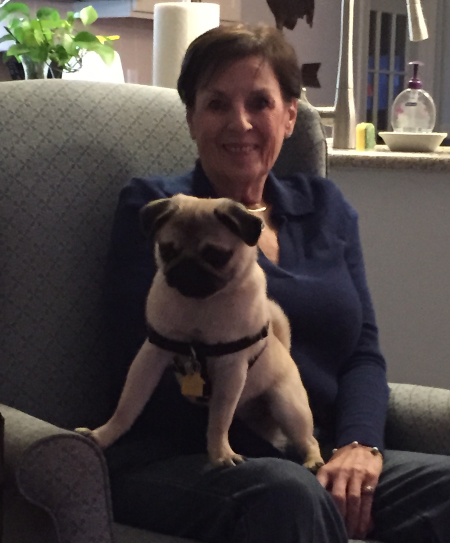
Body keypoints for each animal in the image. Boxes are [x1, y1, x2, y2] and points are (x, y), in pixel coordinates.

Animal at [77, 196, 324, 472]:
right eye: (167, 250)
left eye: (216, 256)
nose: (187, 267)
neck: (200, 305)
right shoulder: (150, 357)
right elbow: (128, 405)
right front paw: (103, 435)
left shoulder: (230, 370)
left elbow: (219, 419)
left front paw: (220, 454)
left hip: (287, 406)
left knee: (308, 439)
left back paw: (313, 460)